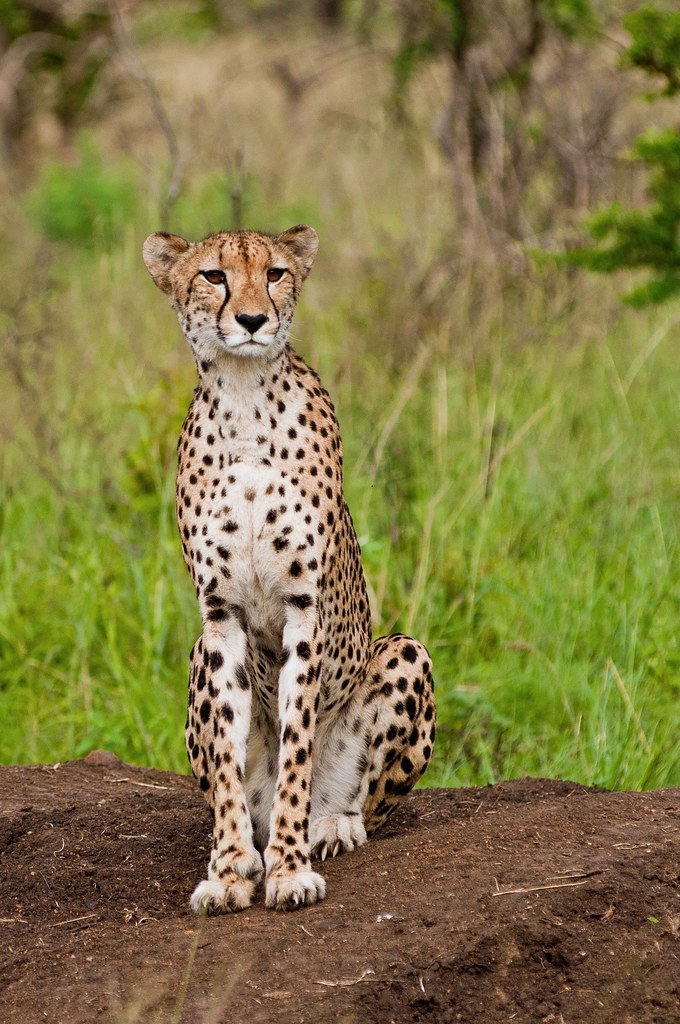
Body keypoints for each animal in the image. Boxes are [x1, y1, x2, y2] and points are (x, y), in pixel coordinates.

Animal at [142, 224, 435, 912]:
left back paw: (330, 824)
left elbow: (298, 735)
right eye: (214, 275)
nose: (253, 320)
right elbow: (226, 754)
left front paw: (291, 869)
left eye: (275, 272)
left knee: (362, 803)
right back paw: (248, 847)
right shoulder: (220, 618)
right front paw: (228, 871)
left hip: (406, 650)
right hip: (197, 650)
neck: (245, 400)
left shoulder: (306, 608)